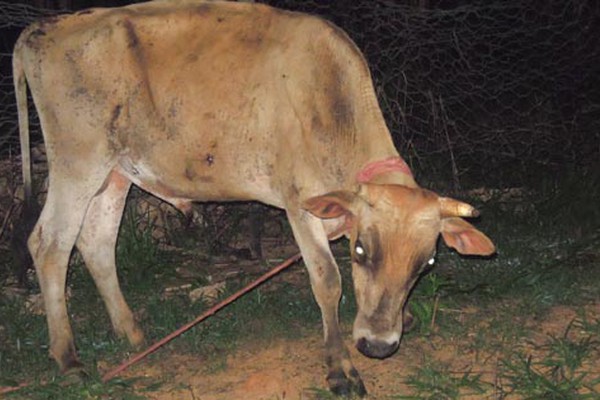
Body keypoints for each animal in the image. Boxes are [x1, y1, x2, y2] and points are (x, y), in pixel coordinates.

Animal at [14, 0, 494, 396]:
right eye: (360, 251)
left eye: (426, 263)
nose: (377, 345)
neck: (328, 103)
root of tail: (43, 28)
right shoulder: (299, 204)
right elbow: (327, 281)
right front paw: (340, 368)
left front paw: (400, 320)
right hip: (77, 161)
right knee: (49, 244)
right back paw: (68, 358)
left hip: (114, 172)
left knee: (96, 242)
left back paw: (130, 332)